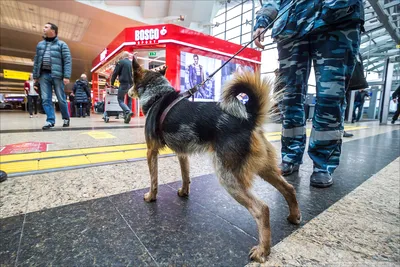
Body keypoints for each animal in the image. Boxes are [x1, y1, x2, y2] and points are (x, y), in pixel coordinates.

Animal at [128, 57, 300, 264]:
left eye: (132, 82)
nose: (127, 92)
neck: (158, 95)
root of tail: (249, 119)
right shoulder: (182, 153)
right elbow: (185, 176)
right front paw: (184, 192)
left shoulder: (151, 151)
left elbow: (154, 180)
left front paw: (151, 197)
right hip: (265, 168)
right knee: (288, 188)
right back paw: (294, 216)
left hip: (227, 176)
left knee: (262, 209)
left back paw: (262, 250)